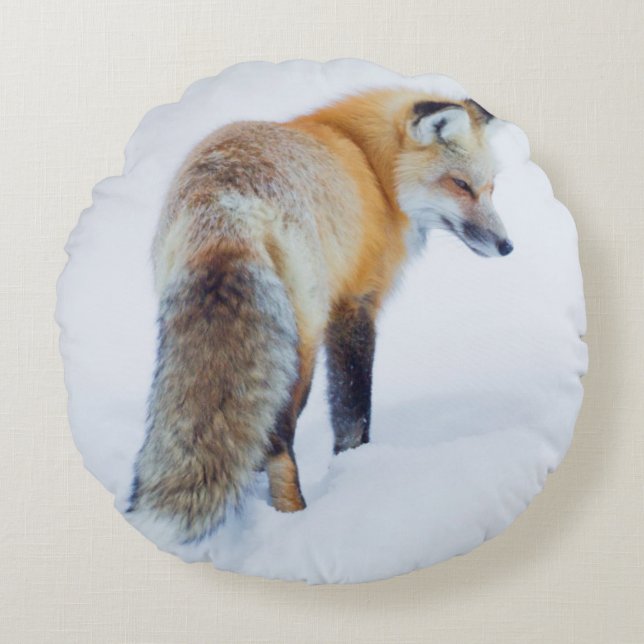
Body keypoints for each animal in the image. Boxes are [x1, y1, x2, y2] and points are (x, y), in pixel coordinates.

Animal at [126, 87, 514, 545]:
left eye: (490, 188)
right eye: (460, 184)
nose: (507, 246)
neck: (370, 166)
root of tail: (225, 203)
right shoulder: (354, 303)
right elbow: (352, 411)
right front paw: (356, 470)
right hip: (301, 344)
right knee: (278, 437)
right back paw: (292, 517)